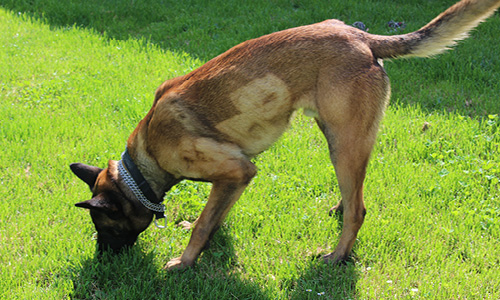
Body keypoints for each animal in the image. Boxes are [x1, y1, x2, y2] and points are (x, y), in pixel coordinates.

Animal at [70, 0, 500, 270]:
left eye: (104, 227)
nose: (103, 262)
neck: (143, 165)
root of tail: (362, 38)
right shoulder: (237, 176)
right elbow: (216, 215)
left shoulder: (236, 170)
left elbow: (208, 221)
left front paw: (185, 261)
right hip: (344, 139)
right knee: (354, 193)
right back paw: (339, 208)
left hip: (341, 142)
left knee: (359, 209)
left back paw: (336, 256)